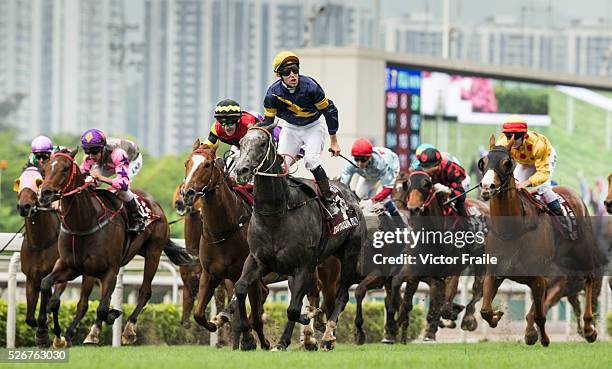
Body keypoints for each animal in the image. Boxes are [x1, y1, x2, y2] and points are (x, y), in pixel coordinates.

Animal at [38, 149, 191, 344]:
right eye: (45, 169)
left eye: (65, 168)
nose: (45, 194)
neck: (83, 223)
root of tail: (157, 207)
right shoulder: (71, 266)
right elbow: (48, 287)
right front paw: (45, 332)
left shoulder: (110, 269)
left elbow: (102, 307)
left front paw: (96, 331)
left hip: (153, 253)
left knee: (145, 291)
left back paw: (128, 330)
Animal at [478, 136, 604, 344]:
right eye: (483, 162)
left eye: (506, 163)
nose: (488, 187)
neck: (512, 232)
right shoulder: (495, 273)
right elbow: (485, 310)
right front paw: (497, 315)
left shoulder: (540, 278)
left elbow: (539, 314)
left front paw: (537, 336)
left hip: (582, 253)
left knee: (590, 279)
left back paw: (589, 329)